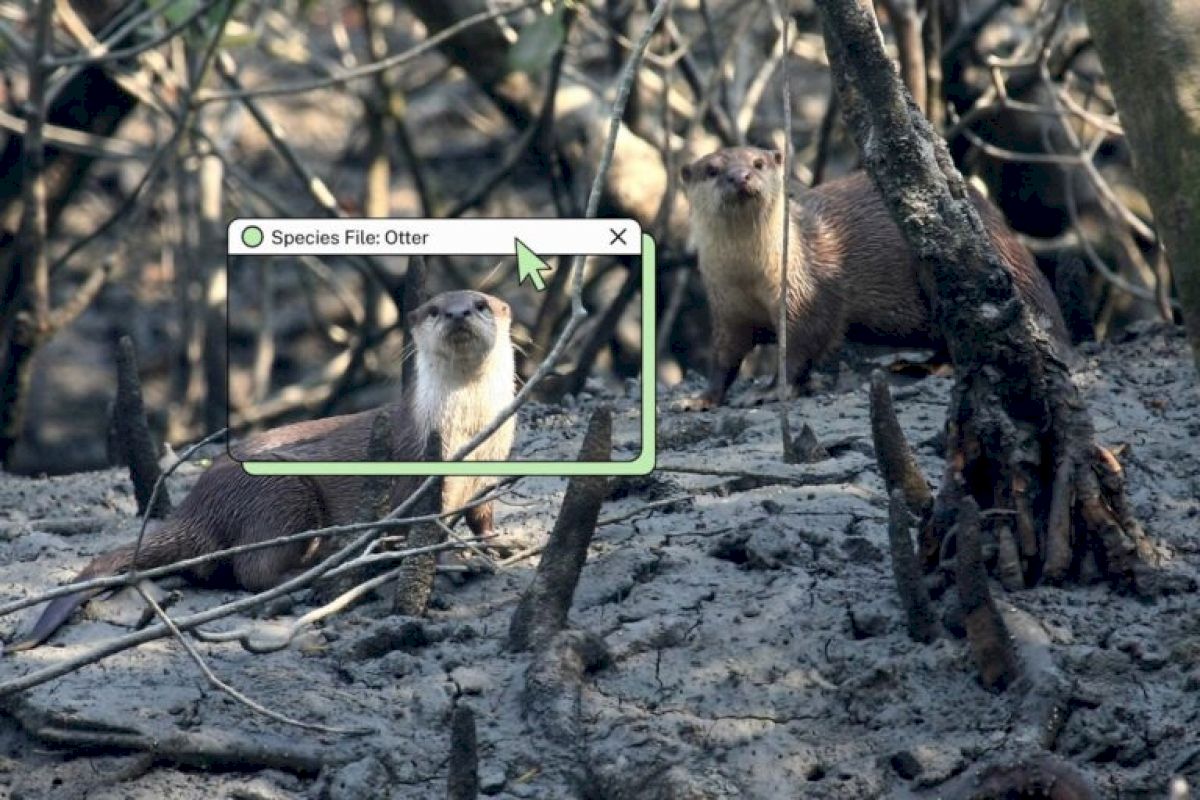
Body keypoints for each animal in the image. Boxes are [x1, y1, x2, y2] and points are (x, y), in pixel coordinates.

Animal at [6, 290, 516, 651]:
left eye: (481, 304)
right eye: (434, 310)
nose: (457, 314)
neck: (469, 434)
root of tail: (198, 507)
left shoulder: (487, 478)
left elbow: (482, 517)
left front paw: (500, 543)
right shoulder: (420, 473)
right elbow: (427, 527)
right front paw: (457, 558)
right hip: (283, 493)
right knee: (252, 568)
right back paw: (311, 574)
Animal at [680, 146, 1073, 408]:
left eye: (758, 163)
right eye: (712, 170)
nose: (740, 177)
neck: (748, 278)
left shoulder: (807, 294)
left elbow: (804, 343)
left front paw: (769, 391)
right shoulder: (726, 308)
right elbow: (724, 356)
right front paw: (701, 399)